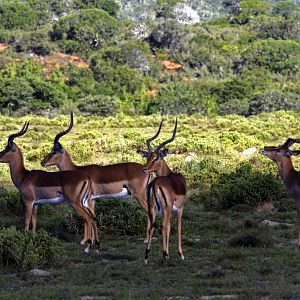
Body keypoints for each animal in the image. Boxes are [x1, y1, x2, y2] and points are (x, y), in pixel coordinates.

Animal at [0, 122, 98, 253]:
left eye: (6, 149)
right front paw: (33, 239)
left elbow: (26, 221)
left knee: (87, 218)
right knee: (92, 217)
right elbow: (34, 222)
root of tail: (86, 178)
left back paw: (86, 248)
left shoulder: (28, 201)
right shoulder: (36, 204)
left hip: (75, 203)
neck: (24, 176)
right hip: (85, 202)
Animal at [139, 119, 188, 262]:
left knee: (152, 226)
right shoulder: (179, 209)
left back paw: (146, 256)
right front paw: (180, 254)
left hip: (152, 208)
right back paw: (165, 255)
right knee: (163, 227)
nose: (144, 169)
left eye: (156, 157)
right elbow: (177, 228)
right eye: (148, 156)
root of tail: (156, 183)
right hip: (166, 209)